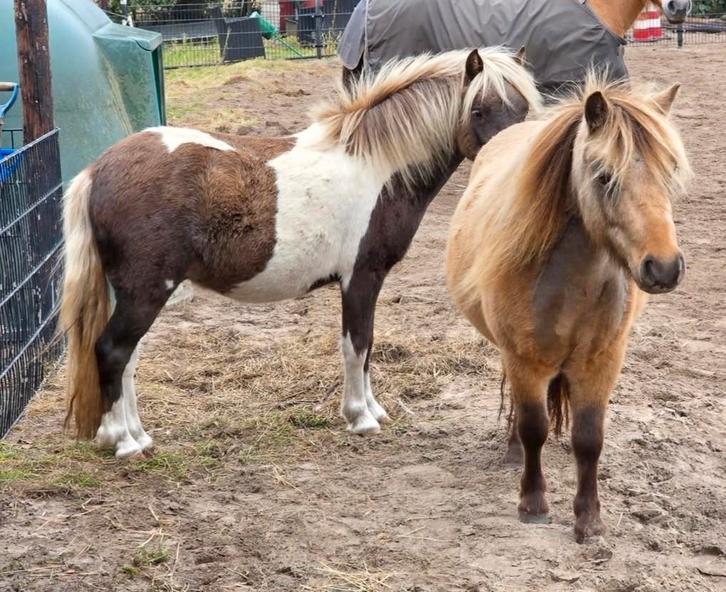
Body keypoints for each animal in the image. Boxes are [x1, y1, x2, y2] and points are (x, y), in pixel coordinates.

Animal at [60, 47, 542, 459]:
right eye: (478, 110)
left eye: (522, 111)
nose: (513, 168)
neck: (376, 167)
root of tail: (98, 170)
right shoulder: (361, 277)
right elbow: (356, 344)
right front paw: (360, 418)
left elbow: (368, 346)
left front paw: (374, 409)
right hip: (146, 291)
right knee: (113, 351)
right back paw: (123, 442)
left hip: (137, 293)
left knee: (127, 359)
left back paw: (136, 435)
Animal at [445, 76, 691, 542]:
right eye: (604, 176)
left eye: (669, 173)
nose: (665, 267)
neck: (570, 283)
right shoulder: (525, 361)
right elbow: (534, 427)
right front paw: (533, 503)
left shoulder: (601, 363)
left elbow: (589, 439)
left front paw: (589, 519)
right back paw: (513, 451)